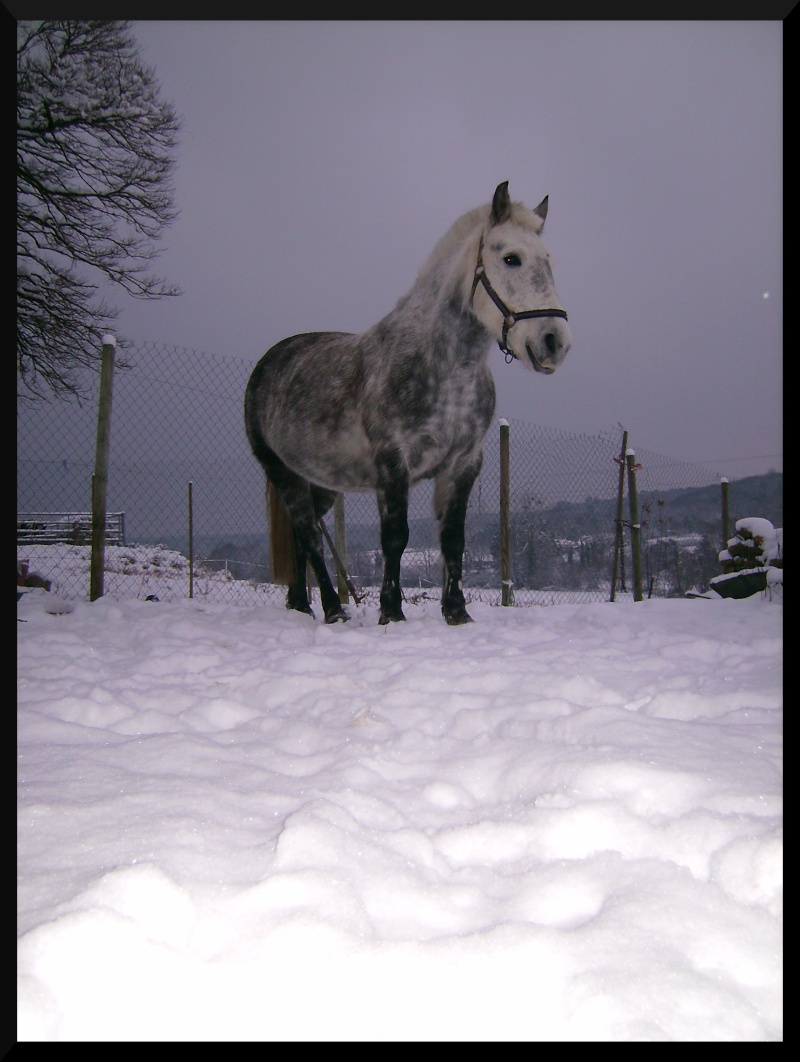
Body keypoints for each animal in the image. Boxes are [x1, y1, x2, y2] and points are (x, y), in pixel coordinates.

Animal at [246, 179, 569, 624]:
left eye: (548, 261)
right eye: (510, 258)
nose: (554, 342)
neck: (445, 371)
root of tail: (270, 360)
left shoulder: (463, 464)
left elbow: (452, 540)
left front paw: (457, 613)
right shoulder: (393, 463)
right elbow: (396, 538)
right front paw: (391, 612)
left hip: (321, 482)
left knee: (300, 533)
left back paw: (300, 603)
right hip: (282, 473)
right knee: (309, 535)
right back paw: (333, 608)